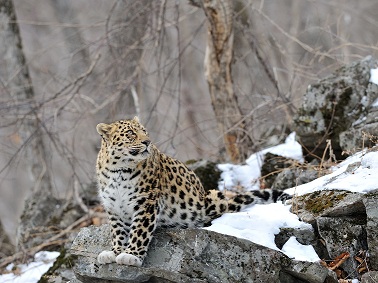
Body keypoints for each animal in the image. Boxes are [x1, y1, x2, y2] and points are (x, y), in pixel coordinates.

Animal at [96, 116, 290, 268]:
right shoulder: (113, 207)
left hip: (212, 199)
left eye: (145, 132)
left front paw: (131, 255)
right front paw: (115, 251)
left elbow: (140, 230)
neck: (118, 171)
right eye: (130, 133)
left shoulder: (147, 201)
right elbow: (118, 231)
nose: (147, 142)